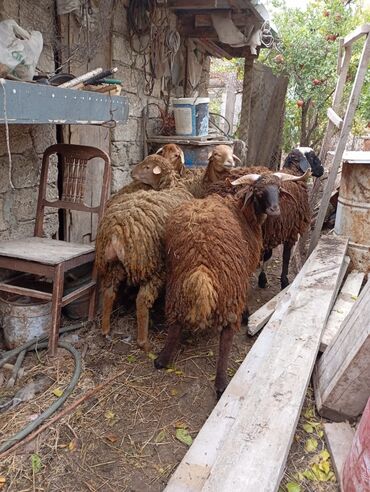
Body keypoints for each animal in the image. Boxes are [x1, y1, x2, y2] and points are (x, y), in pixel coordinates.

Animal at [95, 156, 192, 352]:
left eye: (147, 167)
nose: (131, 173)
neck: (170, 186)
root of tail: (116, 232)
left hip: (114, 264)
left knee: (109, 292)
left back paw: (105, 329)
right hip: (152, 266)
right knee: (142, 301)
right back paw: (144, 342)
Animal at [154, 172, 304, 396]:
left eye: (278, 189)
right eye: (259, 191)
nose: (274, 210)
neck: (244, 212)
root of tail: (200, 260)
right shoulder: (245, 268)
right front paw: (247, 313)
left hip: (179, 280)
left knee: (175, 321)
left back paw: (162, 360)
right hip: (229, 286)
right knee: (226, 335)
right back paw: (221, 383)